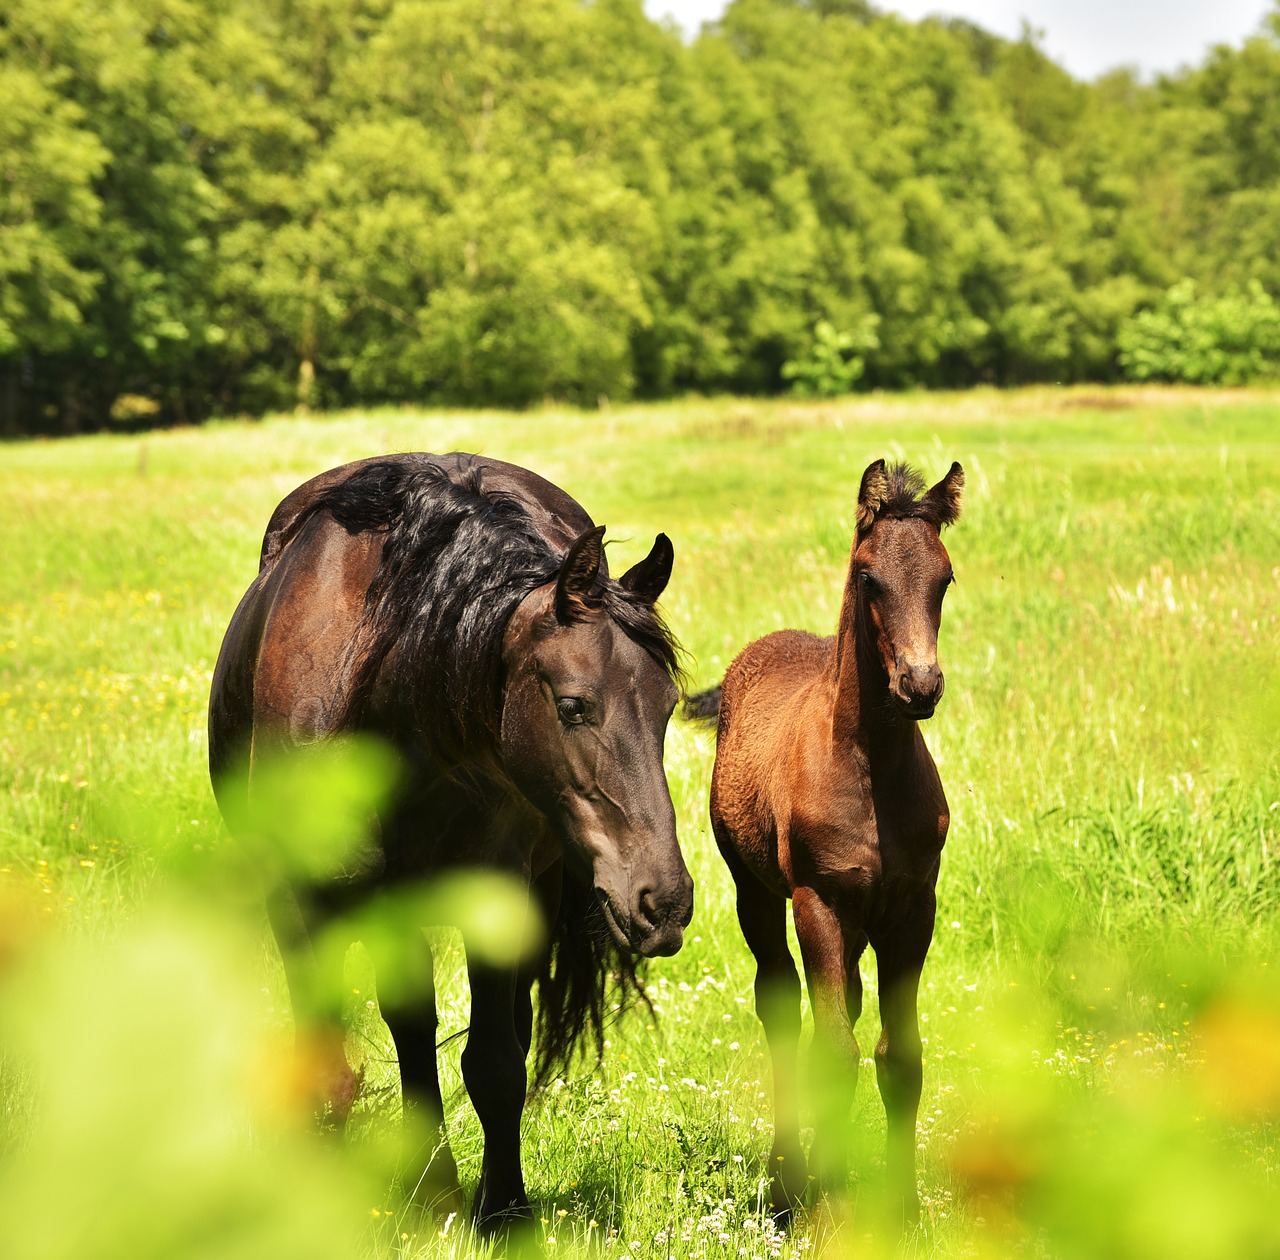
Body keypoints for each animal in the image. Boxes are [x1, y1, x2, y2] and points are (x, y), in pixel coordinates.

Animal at [209, 453, 696, 1229]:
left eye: (668, 706)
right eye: (572, 706)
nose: (664, 902)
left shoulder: (497, 901)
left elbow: (494, 1065)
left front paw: (506, 1214)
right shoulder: (302, 908)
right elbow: (331, 1068)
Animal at [701, 458, 962, 1224]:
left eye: (944, 578)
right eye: (868, 577)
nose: (920, 684)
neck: (869, 766)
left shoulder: (912, 907)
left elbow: (900, 1055)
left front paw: (903, 1208)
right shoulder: (818, 900)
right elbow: (834, 1052)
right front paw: (819, 1201)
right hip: (757, 893)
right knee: (781, 1005)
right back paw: (787, 1175)